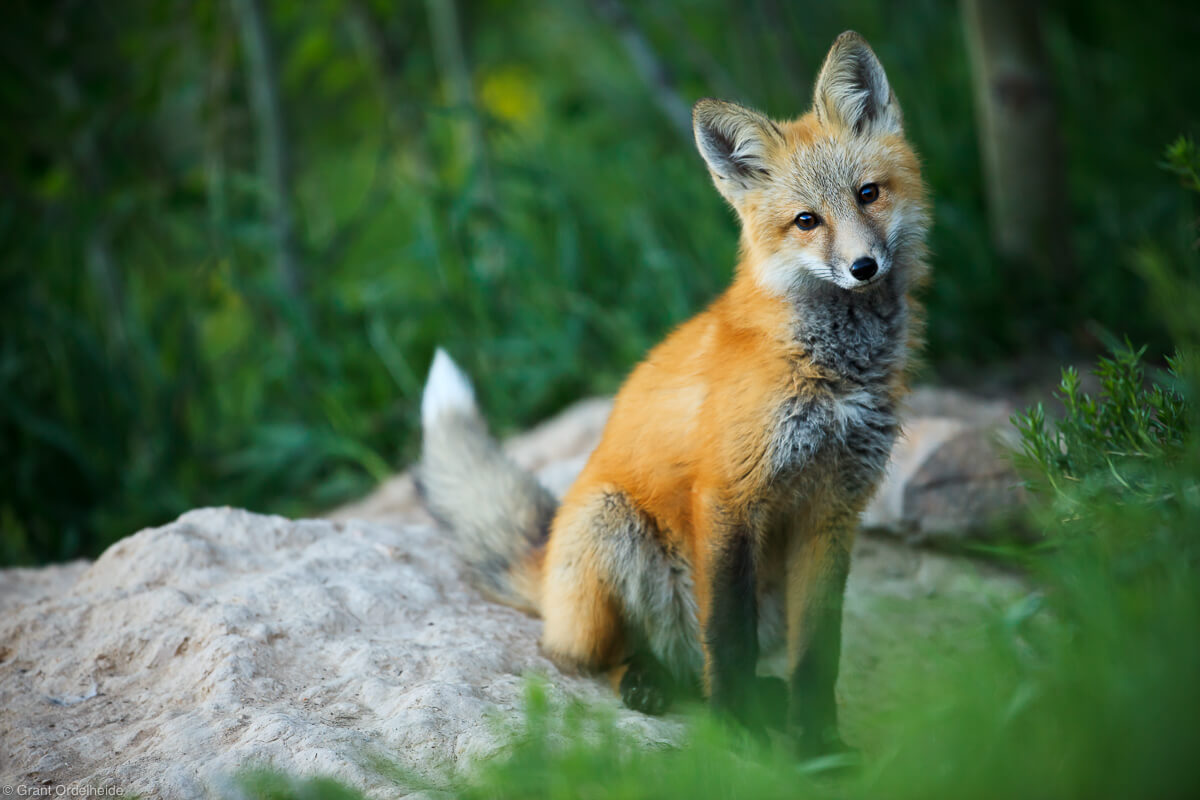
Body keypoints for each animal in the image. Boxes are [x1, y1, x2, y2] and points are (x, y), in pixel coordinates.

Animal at [417, 32, 931, 758]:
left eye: (868, 194)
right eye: (806, 221)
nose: (864, 267)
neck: (829, 373)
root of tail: (545, 571)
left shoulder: (834, 513)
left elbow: (819, 655)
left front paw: (819, 747)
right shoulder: (728, 496)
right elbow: (727, 638)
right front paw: (738, 733)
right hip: (612, 527)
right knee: (589, 658)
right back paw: (648, 683)